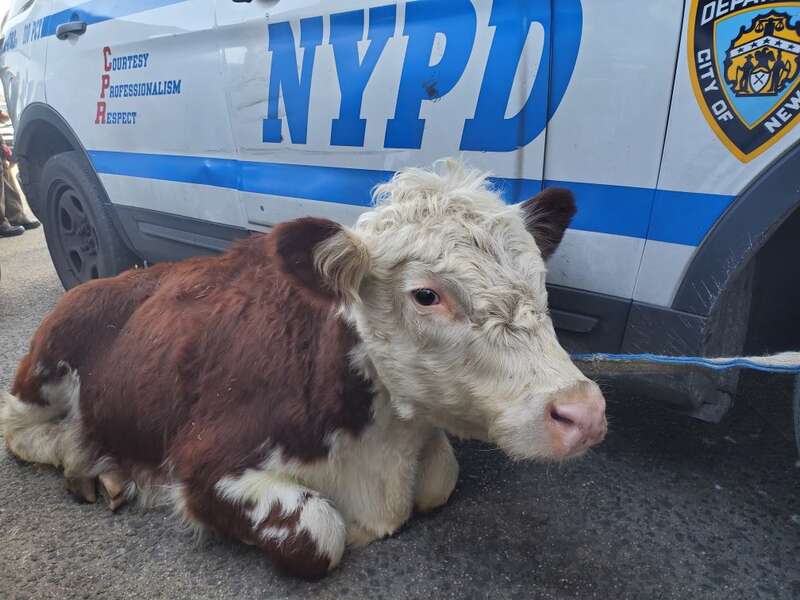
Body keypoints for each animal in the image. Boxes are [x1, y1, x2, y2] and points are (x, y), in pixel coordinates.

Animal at [0, 160, 606, 580]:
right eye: (426, 295)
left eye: (540, 281)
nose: (583, 411)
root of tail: (119, 277)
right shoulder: (201, 462)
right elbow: (319, 533)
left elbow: (440, 477)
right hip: (44, 366)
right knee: (22, 430)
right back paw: (87, 462)